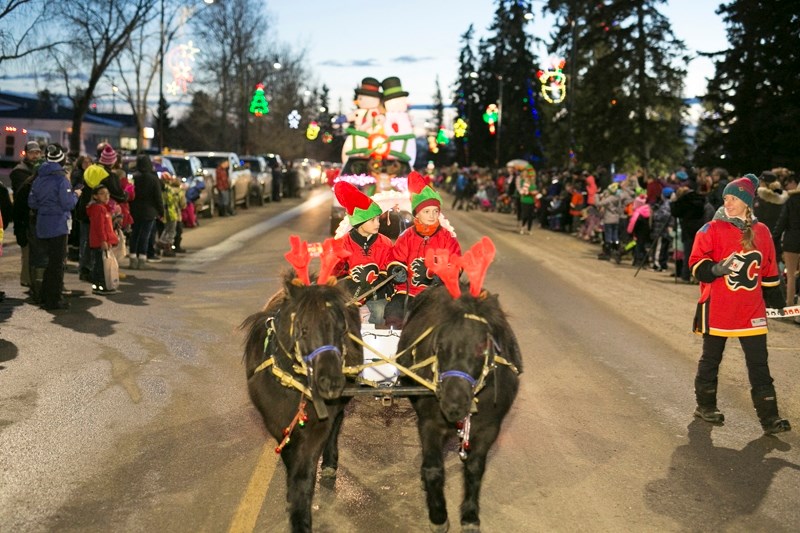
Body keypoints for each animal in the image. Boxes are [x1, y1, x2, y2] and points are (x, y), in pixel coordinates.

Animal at [396, 242, 520, 532]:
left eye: (482, 347)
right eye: (440, 345)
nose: (454, 405)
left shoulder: (489, 427)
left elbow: (475, 469)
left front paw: (470, 516)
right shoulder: (430, 421)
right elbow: (433, 468)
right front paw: (438, 515)